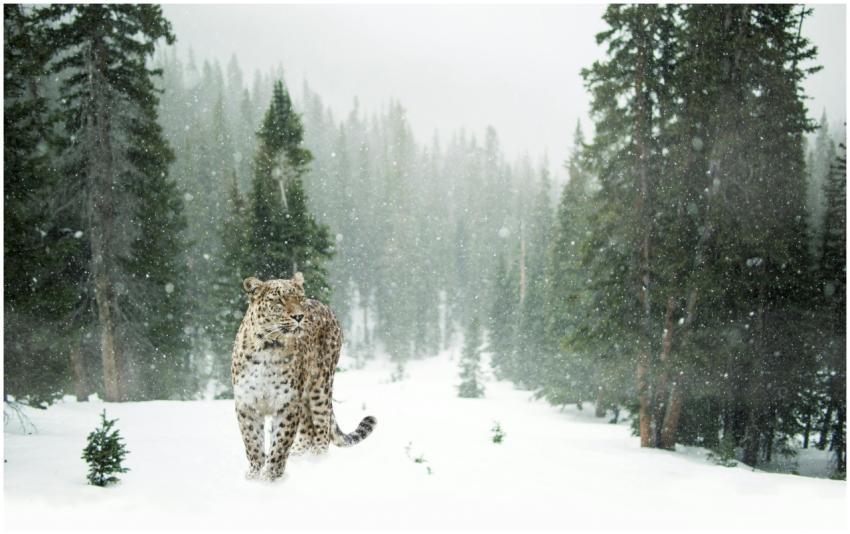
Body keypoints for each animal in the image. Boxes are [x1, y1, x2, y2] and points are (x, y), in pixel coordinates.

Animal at [231, 272, 376, 481]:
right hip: (306, 396)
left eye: (299, 298)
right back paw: (298, 455)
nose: (299, 316)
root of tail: (325, 306)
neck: (268, 348)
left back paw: (318, 460)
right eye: (279, 301)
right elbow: (252, 442)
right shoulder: (247, 403)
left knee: (322, 426)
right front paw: (254, 474)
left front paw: (271, 477)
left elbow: (280, 442)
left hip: (320, 386)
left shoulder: (288, 402)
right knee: (308, 428)